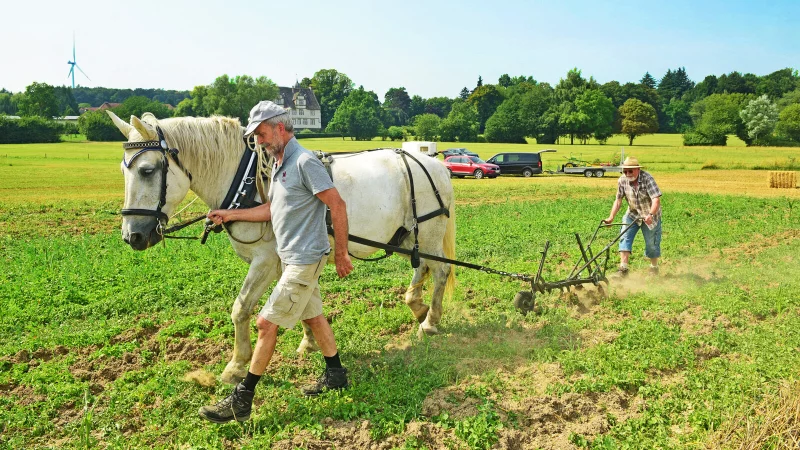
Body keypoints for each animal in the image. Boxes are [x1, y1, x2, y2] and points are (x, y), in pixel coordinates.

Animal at [107, 111, 456, 384]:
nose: (132, 236)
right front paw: (309, 342)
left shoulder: (265, 260)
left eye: (147, 171)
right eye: (123, 170)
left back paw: (430, 321)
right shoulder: (289, 258)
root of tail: (435, 165)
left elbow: (241, 308)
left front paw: (236, 365)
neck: (247, 182)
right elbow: (304, 305)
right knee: (423, 266)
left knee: (440, 270)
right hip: (406, 236)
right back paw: (416, 305)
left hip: (428, 231)